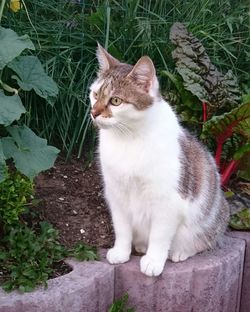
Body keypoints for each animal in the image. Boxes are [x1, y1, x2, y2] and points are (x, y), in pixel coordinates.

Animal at [89, 42, 229, 276]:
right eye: (95, 94)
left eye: (115, 101)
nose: (94, 112)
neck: (129, 139)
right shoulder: (116, 194)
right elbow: (122, 229)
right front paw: (121, 252)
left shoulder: (168, 201)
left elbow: (160, 235)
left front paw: (154, 260)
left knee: (203, 240)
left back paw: (180, 251)